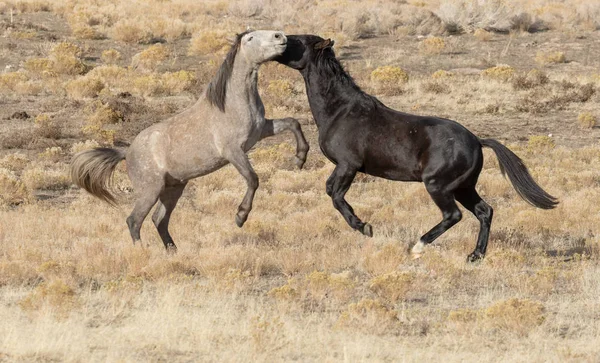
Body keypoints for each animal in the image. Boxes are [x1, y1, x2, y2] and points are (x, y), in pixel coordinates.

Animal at [71, 31, 310, 252]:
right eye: (250, 38)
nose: (280, 36)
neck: (232, 104)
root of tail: (126, 153)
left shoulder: (261, 131)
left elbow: (293, 123)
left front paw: (300, 158)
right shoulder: (233, 151)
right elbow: (253, 179)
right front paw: (240, 217)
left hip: (173, 189)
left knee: (159, 219)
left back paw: (173, 252)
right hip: (151, 190)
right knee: (134, 220)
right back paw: (143, 252)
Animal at [276, 34, 556, 262]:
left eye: (297, 40)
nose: (277, 40)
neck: (340, 110)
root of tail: (477, 141)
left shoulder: (348, 166)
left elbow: (335, 195)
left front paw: (365, 227)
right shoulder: (345, 167)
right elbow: (330, 191)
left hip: (437, 186)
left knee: (454, 215)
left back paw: (417, 247)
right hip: (464, 187)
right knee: (484, 211)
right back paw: (475, 255)